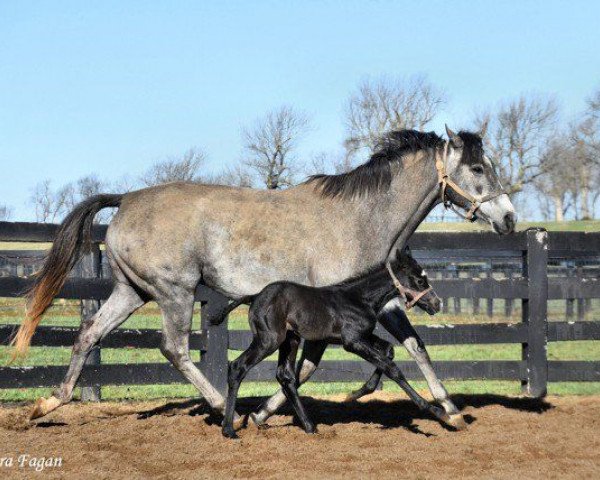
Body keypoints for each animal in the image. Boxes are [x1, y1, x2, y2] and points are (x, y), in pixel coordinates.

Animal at [213, 249, 448, 440]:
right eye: (419, 281)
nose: (437, 303)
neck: (359, 299)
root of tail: (254, 296)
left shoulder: (363, 336)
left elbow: (388, 351)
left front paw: (356, 393)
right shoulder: (352, 341)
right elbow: (392, 368)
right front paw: (437, 411)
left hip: (291, 340)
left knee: (285, 376)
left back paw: (310, 427)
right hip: (269, 340)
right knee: (238, 366)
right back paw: (229, 430)